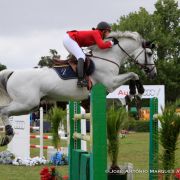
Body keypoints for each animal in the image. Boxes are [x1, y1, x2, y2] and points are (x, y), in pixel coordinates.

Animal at [0, 31, 156, 146]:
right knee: (3, 111)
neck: (108, 57)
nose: (153, 73)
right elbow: (133, 74)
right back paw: (8, 134)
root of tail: (13, 73)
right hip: (25, 103)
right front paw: (135, 94)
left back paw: (7, 136)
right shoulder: (110, 83)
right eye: (149, 54)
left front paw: (133, 95)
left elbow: (134, 75)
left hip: (29, 106)